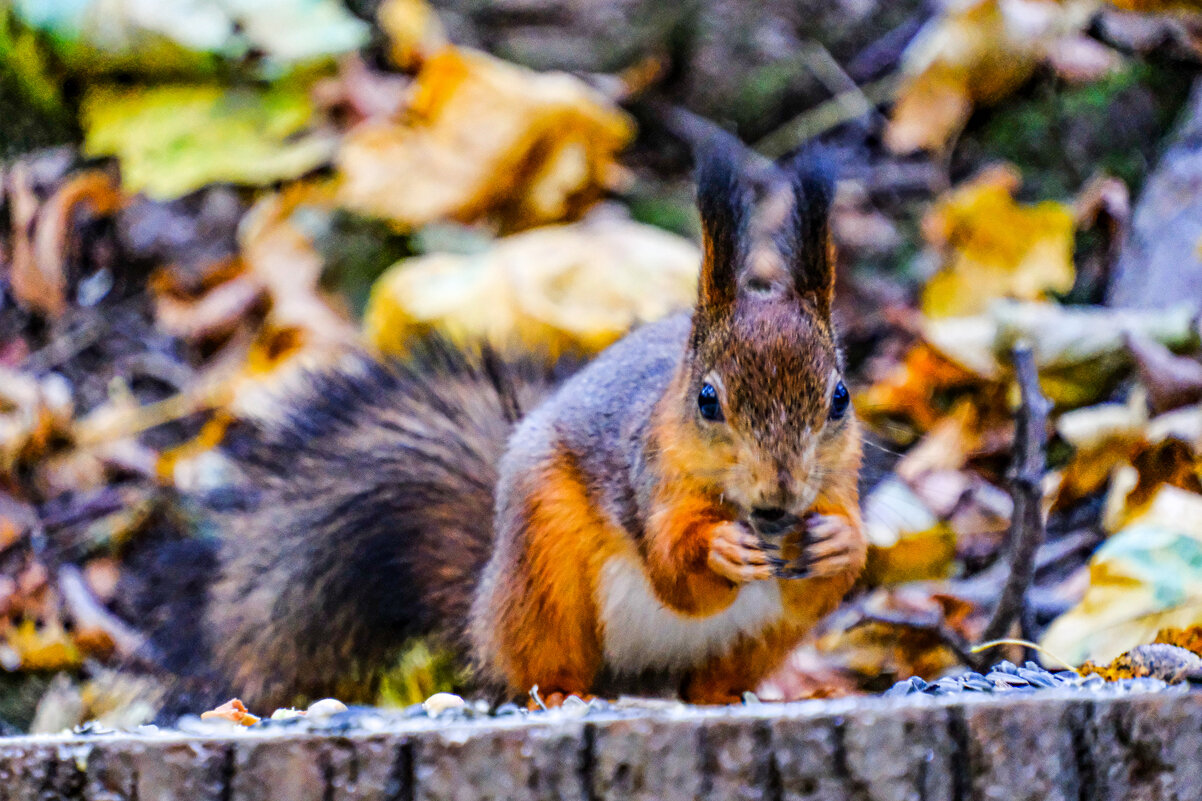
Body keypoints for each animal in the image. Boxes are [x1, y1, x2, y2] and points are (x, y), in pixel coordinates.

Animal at [182, 141, 865, 707]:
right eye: (706, 400)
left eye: (840, 397)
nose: (779, 493)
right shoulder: (646, 477)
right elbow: (675, 574)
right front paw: (719, 546)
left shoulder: (837, 488)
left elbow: (829, 577)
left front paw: (839, 542)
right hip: (543, 572)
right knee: (537, 668)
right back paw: (562, 695)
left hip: (760, 641)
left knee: (713, 676)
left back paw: (734, 696)